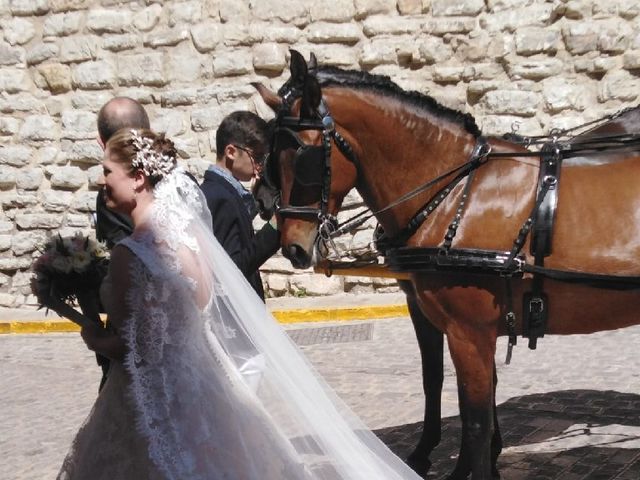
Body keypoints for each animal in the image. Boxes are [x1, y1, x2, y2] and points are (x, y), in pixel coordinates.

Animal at [254, 50, 640, 478]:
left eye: (301, 155)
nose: (292, 247)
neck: (453, 194)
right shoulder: (449, 321)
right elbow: (443, 384)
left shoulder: (469, 331)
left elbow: (475, 420)